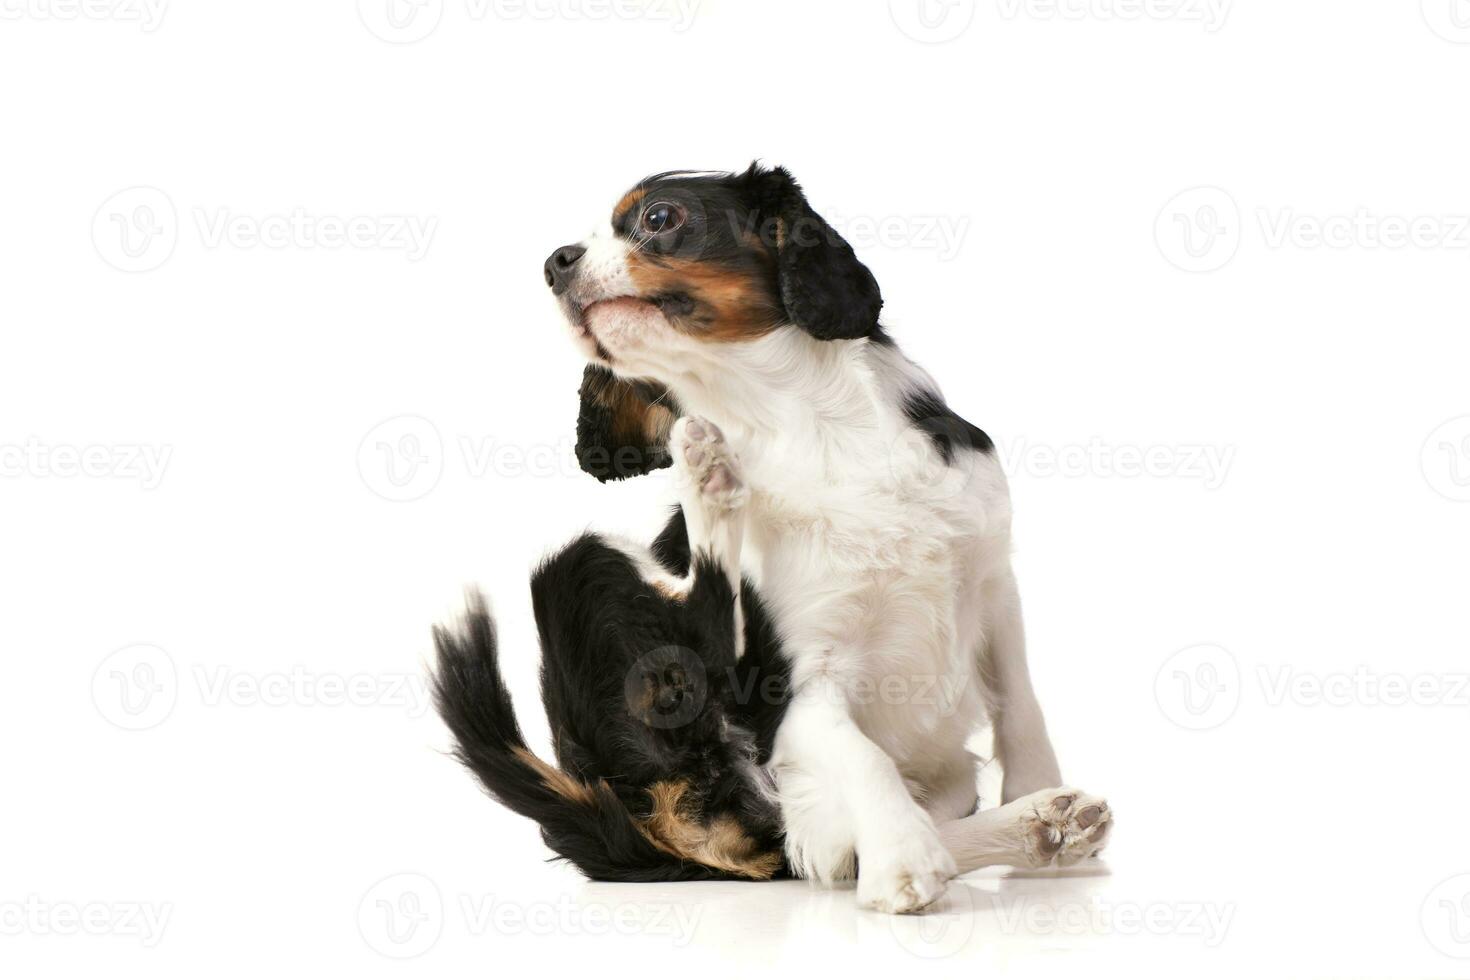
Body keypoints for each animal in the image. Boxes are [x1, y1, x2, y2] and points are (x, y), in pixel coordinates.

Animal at [429, 166, 1105, 910]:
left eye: (659, 218)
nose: (555, 262)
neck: (801, 423)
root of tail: (622, 819)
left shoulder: (991, 582)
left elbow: (1021, 702)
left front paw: (1036, 790)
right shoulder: (794, 685)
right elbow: (863, 753)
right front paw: (904, 859)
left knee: (823, 851)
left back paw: (1036, 827)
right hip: (578, 564)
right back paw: (707, 480)